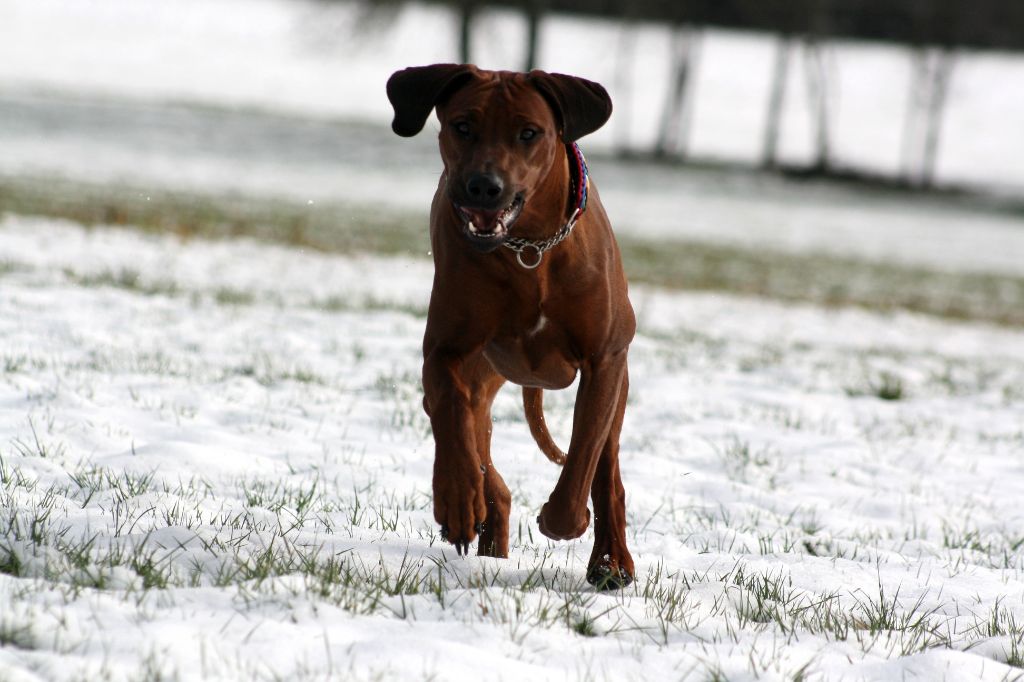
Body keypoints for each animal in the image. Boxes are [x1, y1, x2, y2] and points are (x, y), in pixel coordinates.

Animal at [387, 62, 634, 585]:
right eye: (463, 126)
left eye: (529, 133)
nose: (484, 186)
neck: (528, 250)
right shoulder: (444, 352)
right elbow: (452, 414)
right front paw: (458, 500)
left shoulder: (605, 359)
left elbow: (583, 455)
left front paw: (564, 520)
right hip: (481, 378)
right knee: (477, 447)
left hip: (617, 383)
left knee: (607, 468)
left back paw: (611, 561)